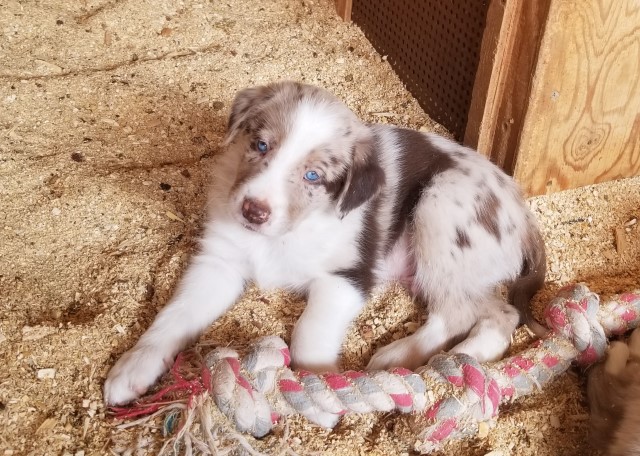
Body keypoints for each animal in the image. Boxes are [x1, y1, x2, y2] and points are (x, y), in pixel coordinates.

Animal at [104, 82, 544, 406]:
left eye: (313, 176)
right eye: (260, 146)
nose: (252, 211)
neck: (281, 237)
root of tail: (522, 212)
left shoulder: (345, 277)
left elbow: (308, 335)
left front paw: (324, 386)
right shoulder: (219, 262)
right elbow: (174, 315)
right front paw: (134, 366)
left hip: (441, 213)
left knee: (465, 313)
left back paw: (402, 356)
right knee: (497, 312)